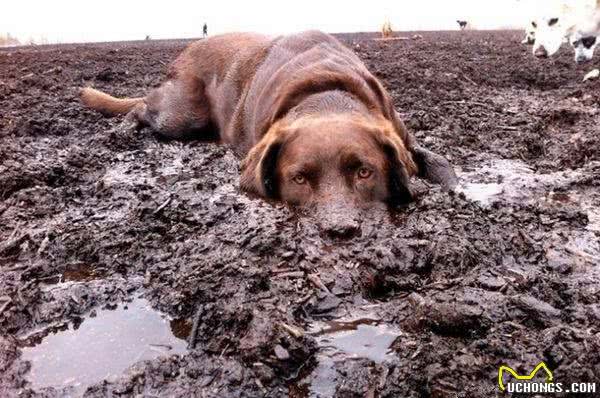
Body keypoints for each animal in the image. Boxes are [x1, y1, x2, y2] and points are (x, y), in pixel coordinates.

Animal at [79, 31, 454, 238]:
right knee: (142, 106)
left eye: (365, 172)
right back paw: (124, 129)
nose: (339, 231)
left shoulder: (400, 133)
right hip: (180, 115)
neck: (326, 93)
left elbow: (440, 164)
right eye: (298, 179)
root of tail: (188, 48)